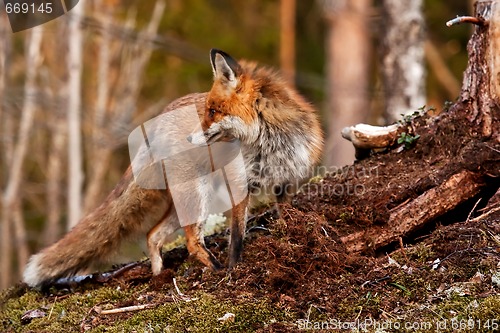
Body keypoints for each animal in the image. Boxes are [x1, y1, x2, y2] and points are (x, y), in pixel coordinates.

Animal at [22, 48, 324, 286]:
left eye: (213, 112)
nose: (190, 138)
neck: (269, 143)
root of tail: (158, 119)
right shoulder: (240, 185)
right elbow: (237, 237)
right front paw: (234, 269)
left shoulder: (286, 179)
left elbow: (284, 214)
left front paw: (291, 236)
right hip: (197, 196)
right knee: (190, 242)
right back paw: (214, 271)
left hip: (187, 202)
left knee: (152, 235)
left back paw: (159, 277)